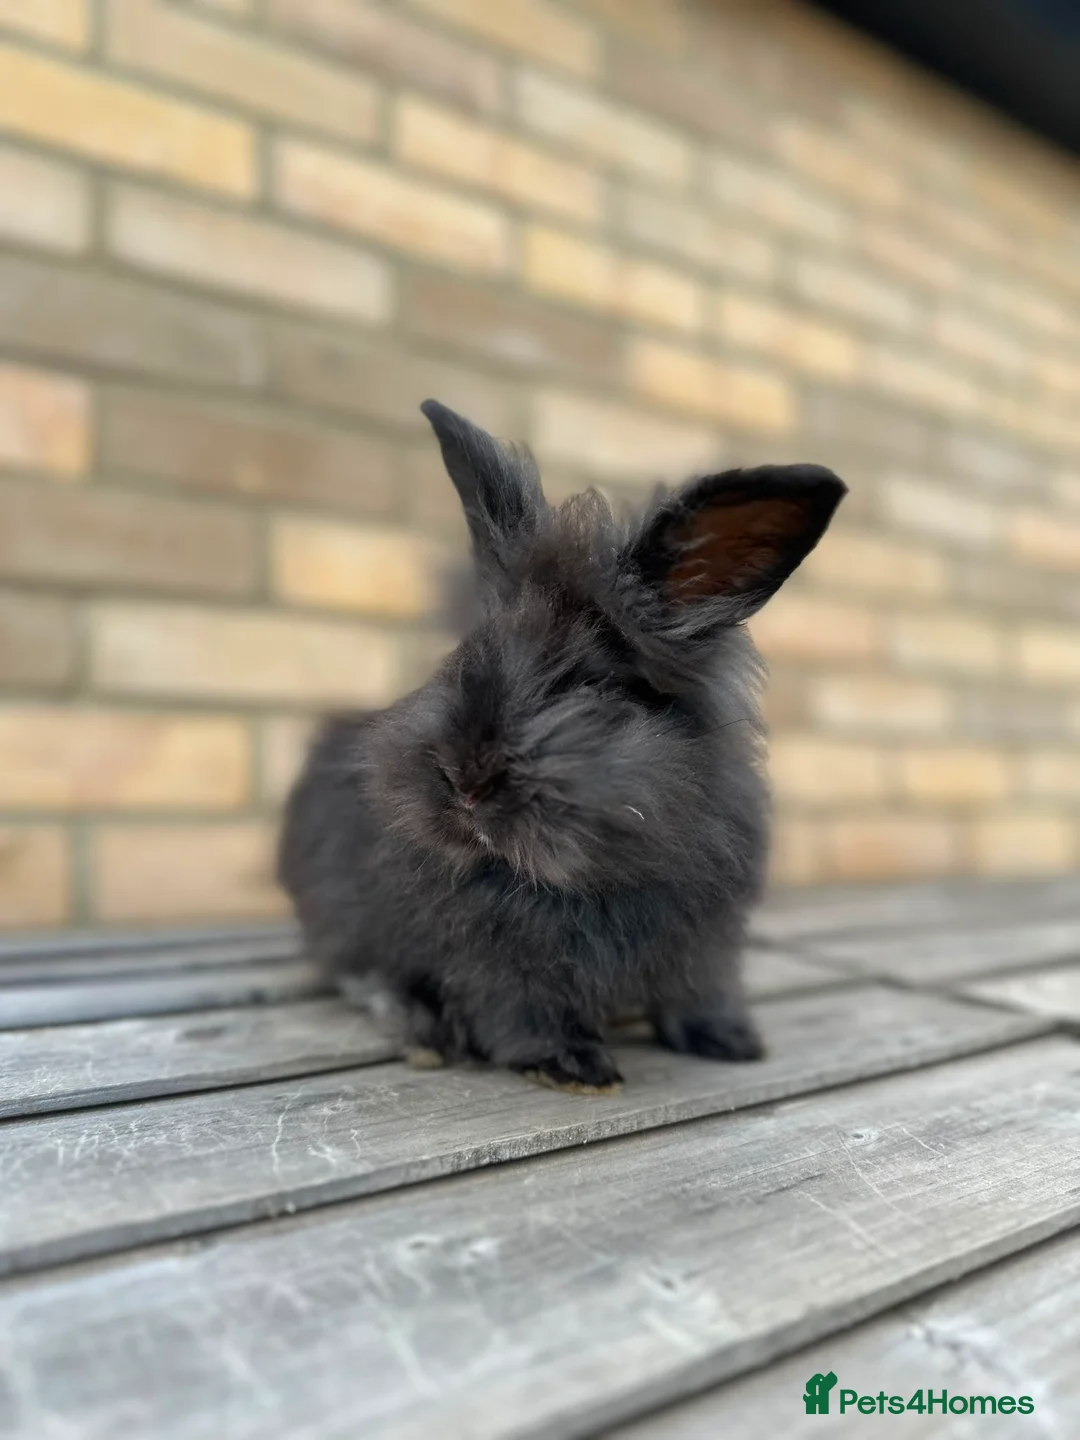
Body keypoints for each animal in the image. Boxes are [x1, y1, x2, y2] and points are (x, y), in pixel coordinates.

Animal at [278, 399, 846, 1094]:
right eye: (472, 648)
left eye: (594, 682)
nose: (466, 781)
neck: (596, 873)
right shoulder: (491, 959)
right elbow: (522, 1008)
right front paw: (574, 1068)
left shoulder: (706, 943)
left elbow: (697, 992)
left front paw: (731, 1041)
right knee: (357, 973)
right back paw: (427, 1032)